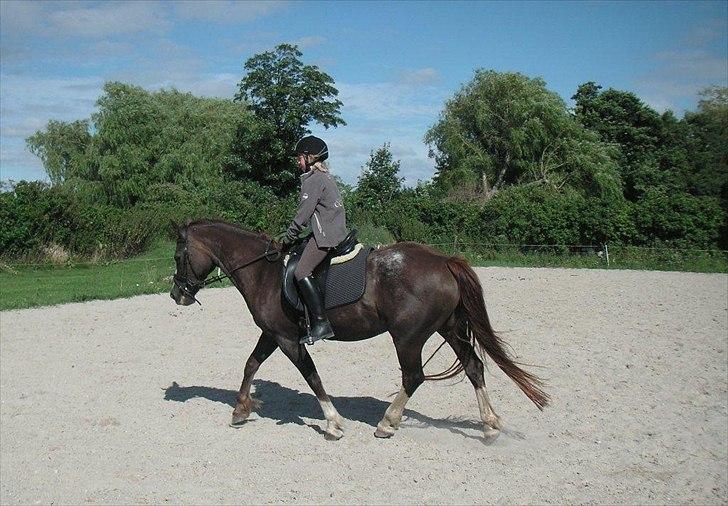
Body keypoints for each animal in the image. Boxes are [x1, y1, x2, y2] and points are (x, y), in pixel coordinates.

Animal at [169, 219, 544, 440]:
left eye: (178, 256)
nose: (177, 294)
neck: (264, 272)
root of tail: (444, 261)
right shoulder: (273, 334)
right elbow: (251, 364)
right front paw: (240, 410)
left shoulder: (288, 339)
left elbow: (311, 376)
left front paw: (333, 423)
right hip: (448, 329)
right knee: (473, 366)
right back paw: (490, 424)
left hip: (408, 337)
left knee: (414, 377)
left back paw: (387, 422)